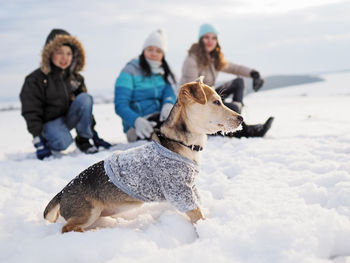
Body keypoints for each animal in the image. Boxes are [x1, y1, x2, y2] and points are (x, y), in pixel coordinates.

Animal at [43, 78, 243, 233]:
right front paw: (207, 230)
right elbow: (197, 214)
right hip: (88, 212)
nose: (241, 118)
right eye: (216, 102)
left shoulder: (191, 187)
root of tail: (62, 192)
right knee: (67, 228)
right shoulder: (179, 191)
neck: (184, 144)